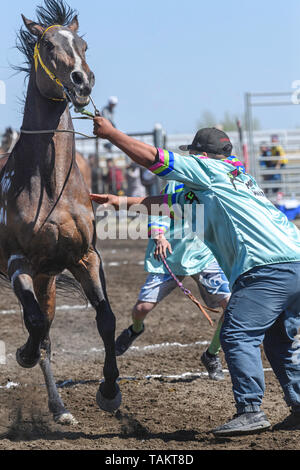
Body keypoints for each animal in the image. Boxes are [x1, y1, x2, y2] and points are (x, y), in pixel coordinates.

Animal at [1, 0, 121, 424]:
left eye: (82, 44)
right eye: (48, 44)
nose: (82, 81)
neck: (50, 187)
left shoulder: (84, 257)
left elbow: (105, 318)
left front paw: (109, 391)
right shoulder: (17, 261)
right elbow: (36, 324)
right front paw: (22, 353)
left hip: (47, 280)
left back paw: (58, 407)